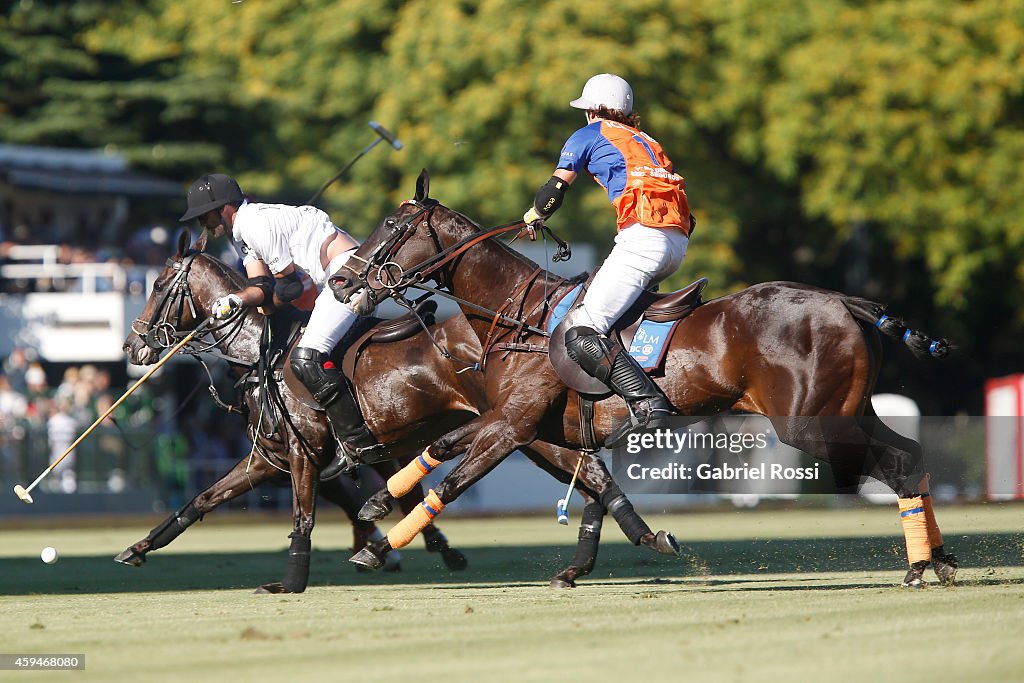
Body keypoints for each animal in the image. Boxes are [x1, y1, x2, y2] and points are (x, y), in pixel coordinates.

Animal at [121, 229, 679, 593]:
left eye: (157, 285)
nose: (133, 346)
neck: (262, 351)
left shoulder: (304, 453)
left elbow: (304, 516)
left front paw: (290, 582)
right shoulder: (268, 458)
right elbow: (201, 500)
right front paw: (138, 549)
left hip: (516, 427)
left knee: (588, 473)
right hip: (529, 431)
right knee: (592, 475)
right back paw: (641, 540)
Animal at [333, 169, 958, 589]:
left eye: (391, 225)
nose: (341, 282)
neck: (522, 317)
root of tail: (843, 301)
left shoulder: (512, 427)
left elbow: (454, 482)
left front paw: (377, 546)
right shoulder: (524, 424)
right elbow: (445, 446)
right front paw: (375, 504)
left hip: (812, 423)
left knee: (896, 463)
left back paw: (921, 567)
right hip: (851, 410)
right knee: (909, 455)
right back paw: (940, 560)